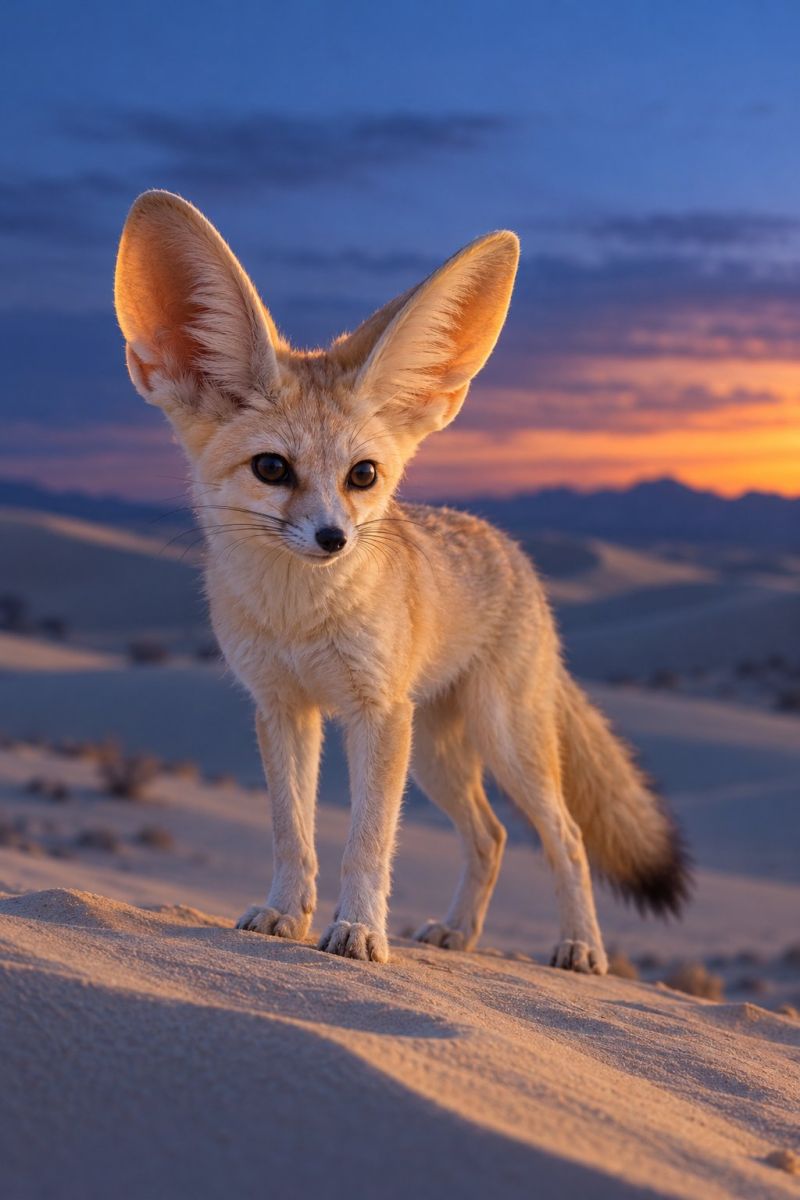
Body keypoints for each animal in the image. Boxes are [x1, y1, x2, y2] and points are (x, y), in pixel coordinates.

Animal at [114, 190, 690, 971]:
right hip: (439, 757)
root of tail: (512, 551)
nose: (333, 539)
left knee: (564, 836)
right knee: (491, 836)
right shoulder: (282, 708)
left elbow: (368, 841)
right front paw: (284, 914)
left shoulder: (377, 714)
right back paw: (457, 933)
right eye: (272, 469)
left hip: (501, 744)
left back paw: (579, 947)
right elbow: (291, 832)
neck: (300, 618)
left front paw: (357, 932)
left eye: (363, 475)